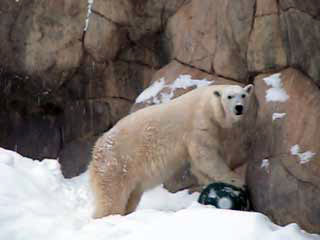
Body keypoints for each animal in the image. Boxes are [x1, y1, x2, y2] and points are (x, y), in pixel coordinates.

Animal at [89, 83, 255, 218]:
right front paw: (236, 180)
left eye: (243, 95)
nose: (239, 107)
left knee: (131, 196)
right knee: (112, 196)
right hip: (116, 163)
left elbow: (198, 165)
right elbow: (205, 155)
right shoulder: (200, 124)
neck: (208, 104)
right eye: (229, 96)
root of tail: (96, 150)